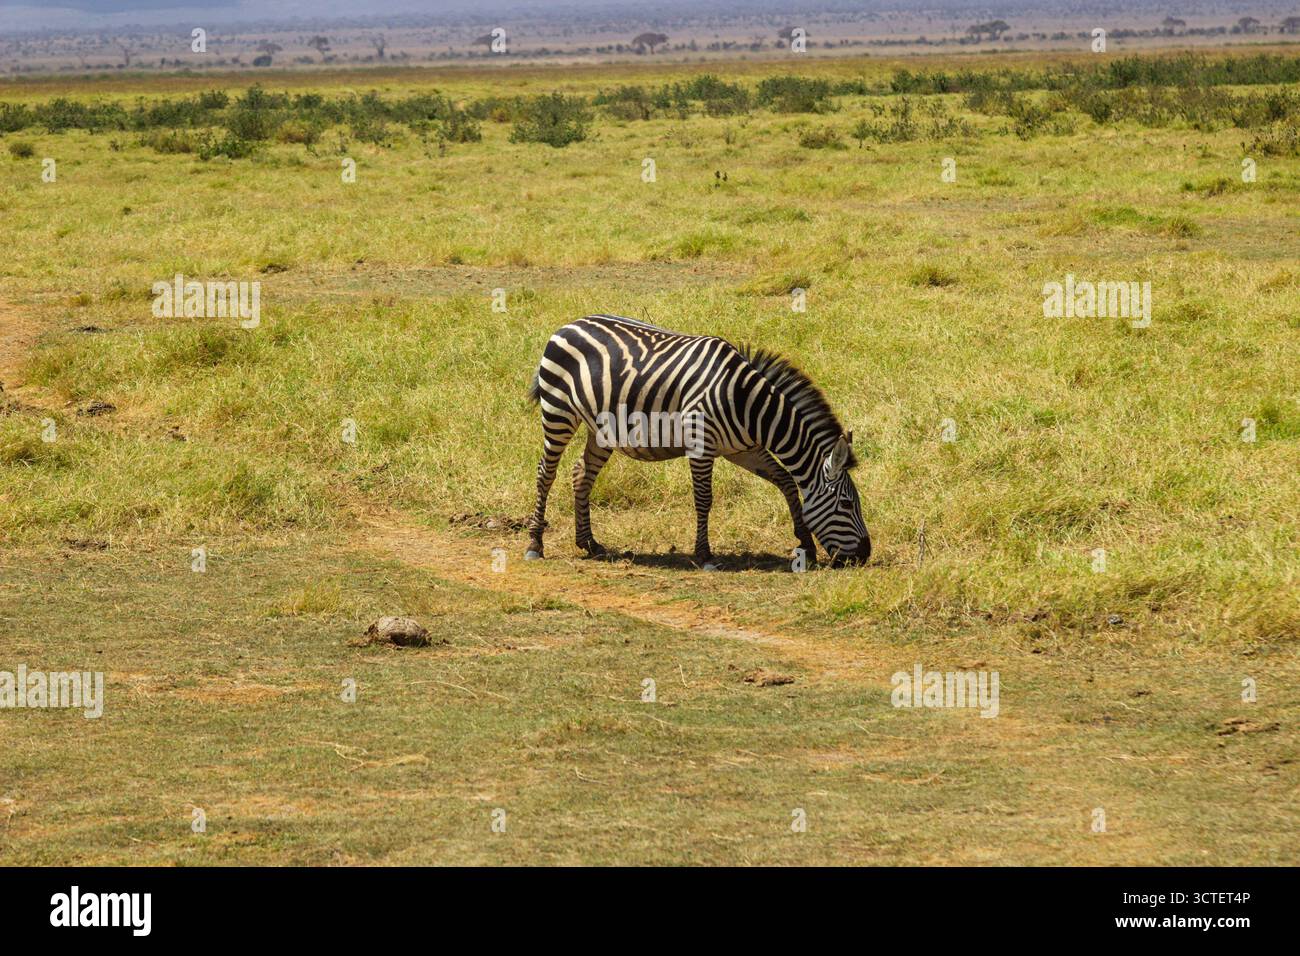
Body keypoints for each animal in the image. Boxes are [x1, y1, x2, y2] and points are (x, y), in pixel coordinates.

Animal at [525, 314, 871, 568]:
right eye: (846, 503)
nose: (865, 555)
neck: (750, 406)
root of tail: (569, 324)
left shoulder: (745, 450)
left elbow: (786, 481)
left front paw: (806, 545)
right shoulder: (701, 444)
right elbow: (704, 498)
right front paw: (704, 556)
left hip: (601, 428)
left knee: (581, 474)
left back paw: (589, 543)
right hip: (558, 413)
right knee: (545, 473)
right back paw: (535, 544)